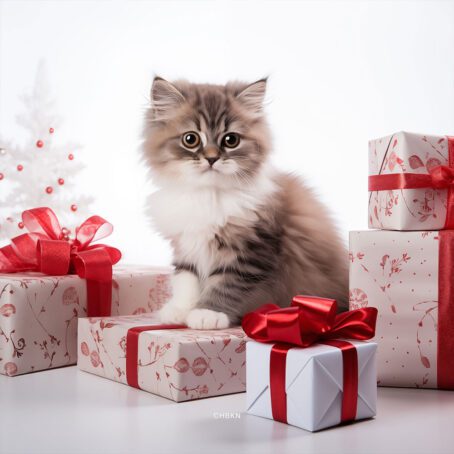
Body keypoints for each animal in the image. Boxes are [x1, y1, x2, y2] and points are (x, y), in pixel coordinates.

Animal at [144, 76, 350, 328]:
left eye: (230, 140)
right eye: (190, 139)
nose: (212, 158)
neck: (208, 194)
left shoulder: (250, 252)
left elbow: (225, 284)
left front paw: (207, 313)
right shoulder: (186, 243)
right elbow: (186, 278)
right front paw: (179, 309)